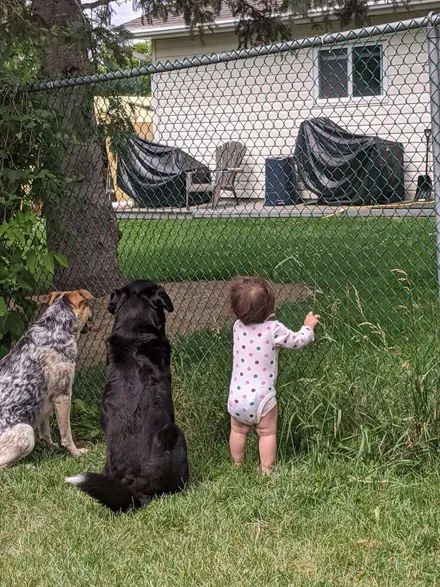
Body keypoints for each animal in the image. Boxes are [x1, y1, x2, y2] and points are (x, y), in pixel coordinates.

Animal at [0, 292, 92, 470]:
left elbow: (46, 433)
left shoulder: (44, 401)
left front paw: (52, 448)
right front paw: (76, 453)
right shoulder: (63, 396)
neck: (53, 330)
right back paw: (26, 466)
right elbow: (66, 435)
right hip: (26, 432)